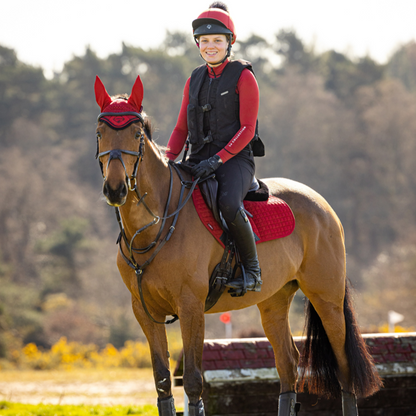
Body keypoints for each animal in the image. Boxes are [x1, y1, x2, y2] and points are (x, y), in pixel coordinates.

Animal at [93, 75, 380, 416]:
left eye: (136, 135)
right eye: (100, 133)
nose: (115, 189)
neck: (154, 226)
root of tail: (323, 205)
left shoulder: (190, 306)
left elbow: (193, 381)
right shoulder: (145, 311)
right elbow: (162, 382)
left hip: (327, 299)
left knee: (343, 365)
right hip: (274, 301)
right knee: (288, 364)